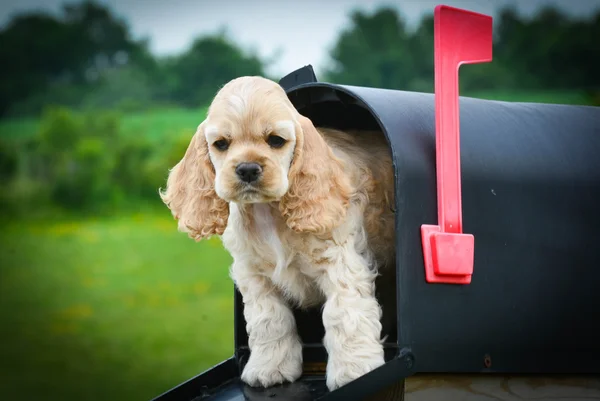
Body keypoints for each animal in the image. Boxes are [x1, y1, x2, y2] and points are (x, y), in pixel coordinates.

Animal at [159, 76, 396, 390]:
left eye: (275, 140)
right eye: (221, 144)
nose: (247, 168)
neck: (268, 212)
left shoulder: (340, 265)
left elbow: (344, 316)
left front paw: (354, 371)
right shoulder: (254, 275)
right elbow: (269, 321)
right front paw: (269, 369)